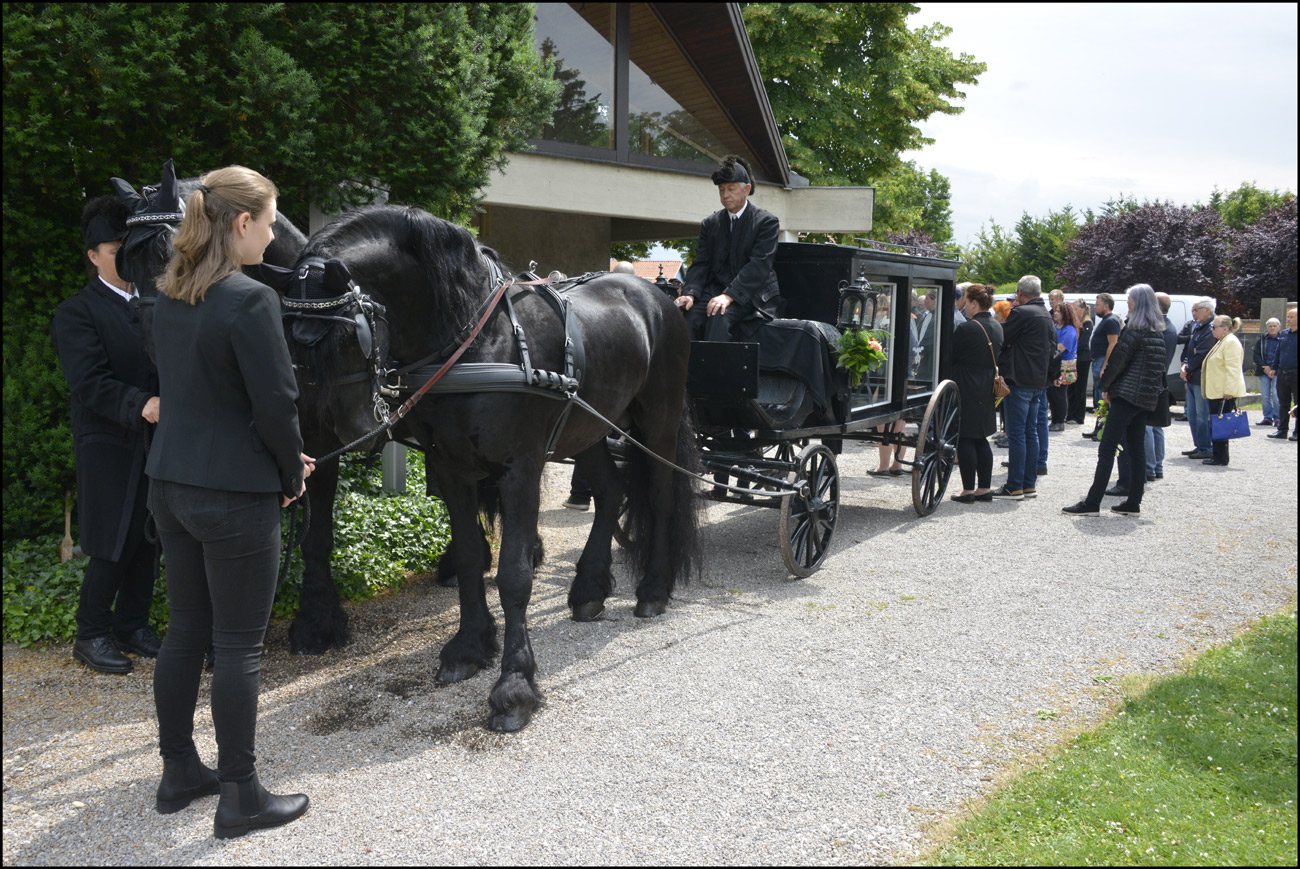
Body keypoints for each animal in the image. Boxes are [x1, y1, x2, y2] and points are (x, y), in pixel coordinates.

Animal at [291, 206, 707, 728]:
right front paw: (469, 648)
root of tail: (656, 296)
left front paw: (514, 686)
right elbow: (471, 556)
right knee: (611, 492)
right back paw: (589, 588)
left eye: (350, 333)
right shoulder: (450, 467)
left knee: (659, 496)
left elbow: (514, 574)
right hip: (590, 425)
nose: (341, 432)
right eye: (290, 337)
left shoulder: (520, 469)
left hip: (658, 421)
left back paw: (653, 589)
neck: (481, 345)